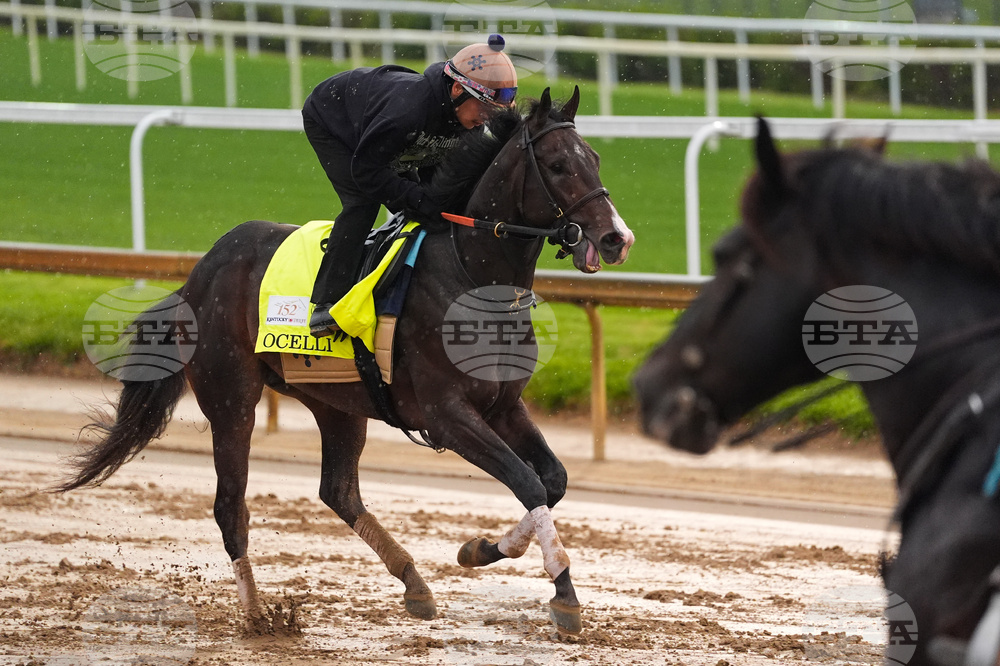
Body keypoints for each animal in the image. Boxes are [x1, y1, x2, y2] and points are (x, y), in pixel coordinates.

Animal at [57, 87, 635, 636]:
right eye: (557, 165)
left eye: (595, 159)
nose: (617, 238)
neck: (472, 276)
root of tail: (196, 276)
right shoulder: (447, 415)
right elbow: (528, 482)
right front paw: (564, 596)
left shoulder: (503, 405)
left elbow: (553, 479)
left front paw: (483, 550)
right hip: (231, 396)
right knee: (231, 506)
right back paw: (257, 618)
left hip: (337, 402)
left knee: (337, 490)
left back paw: (414, 582)